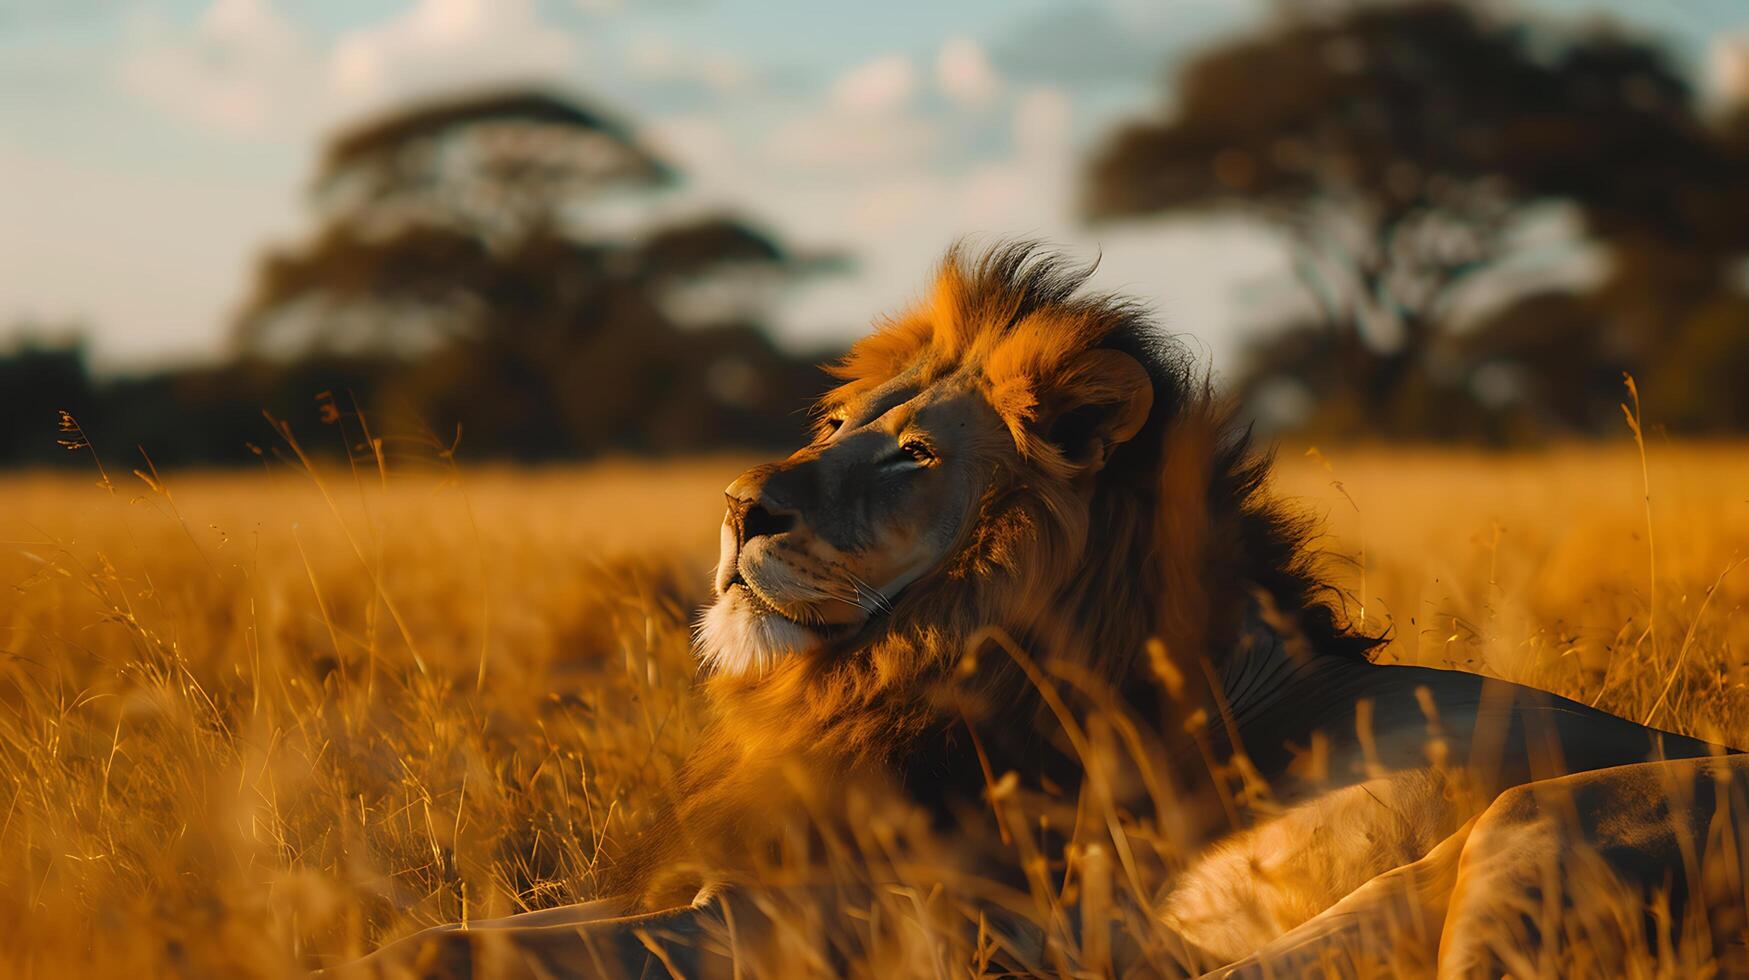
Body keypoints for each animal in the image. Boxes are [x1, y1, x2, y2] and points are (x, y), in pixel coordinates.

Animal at [344, 243, 1749, 973]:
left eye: (913, 454)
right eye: (839, 428)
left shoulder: (867, 904)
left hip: (1531, 828)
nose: (742, 503)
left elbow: (526, 940)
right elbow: (487, 917)